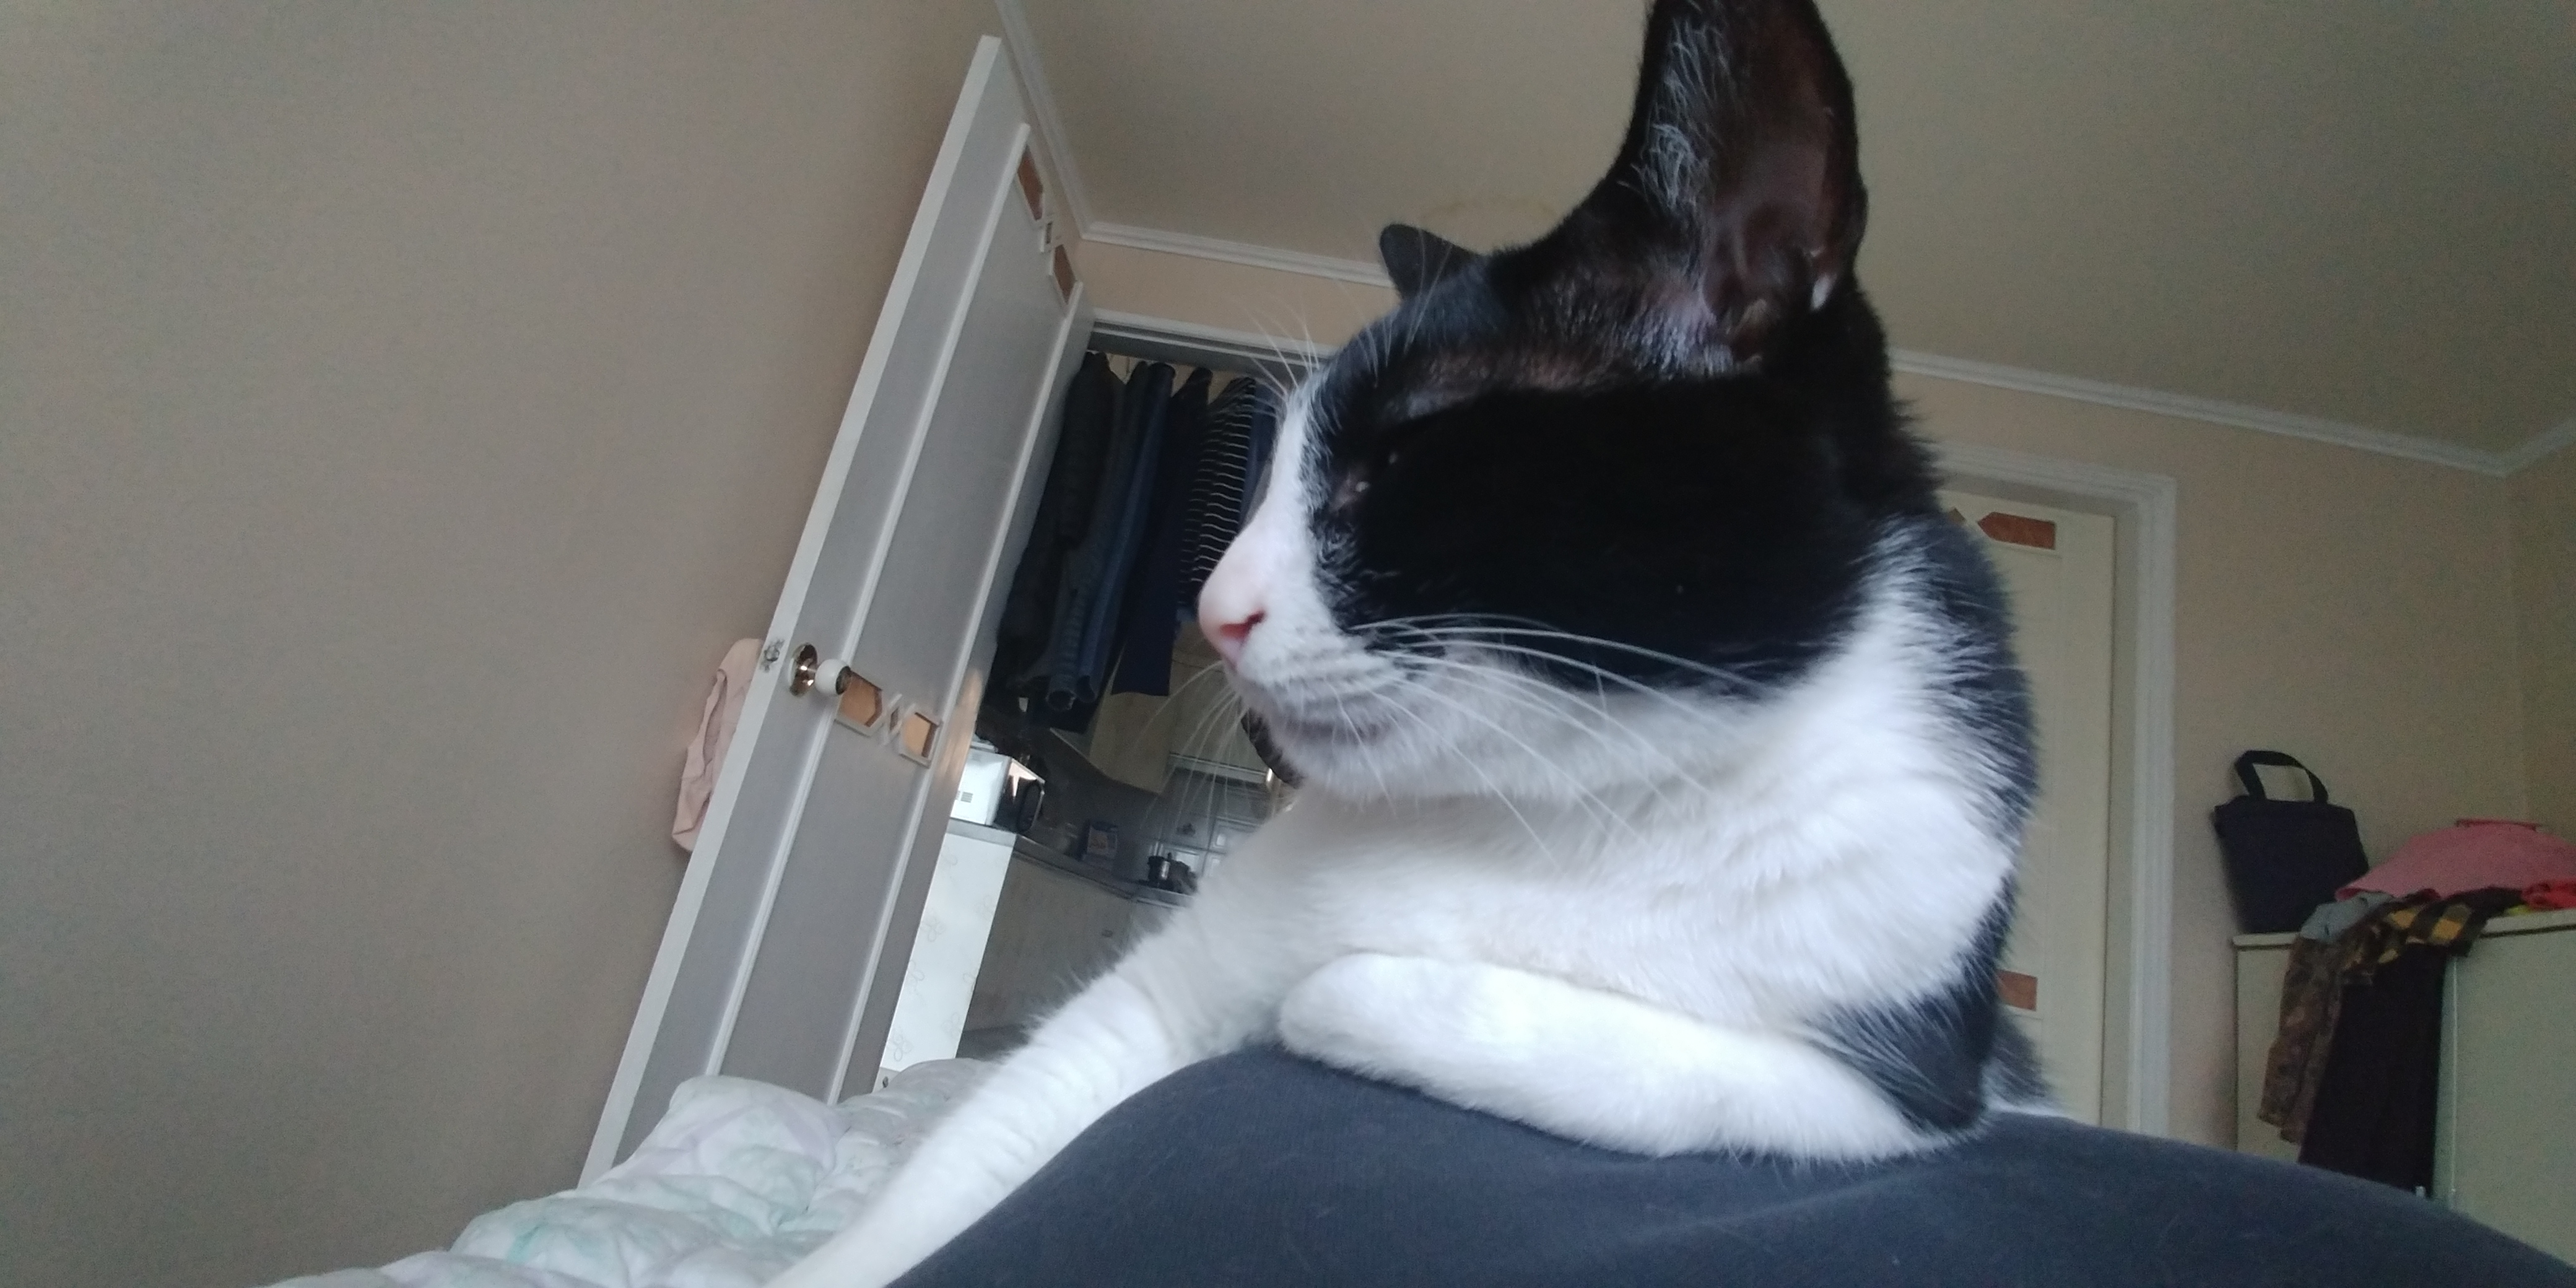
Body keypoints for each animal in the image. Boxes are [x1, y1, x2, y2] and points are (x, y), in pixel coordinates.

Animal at [774, 1, 2042, 1282]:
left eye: (1393, 459)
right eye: (1270, 475)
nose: (1214, 610)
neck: (1573, 807)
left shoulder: (1908, 1081)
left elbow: (1645, 1066)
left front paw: (1336, 995)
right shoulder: (1155, 1004)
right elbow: (975, 1152)